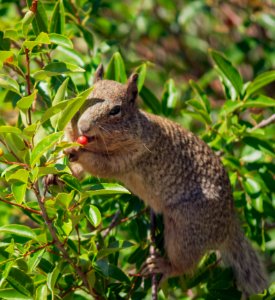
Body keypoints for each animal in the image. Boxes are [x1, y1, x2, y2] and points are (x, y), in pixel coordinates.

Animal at [64, 64, 268, 296]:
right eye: (83, 96)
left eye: (116, 110)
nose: (83, 126)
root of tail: (228, 226)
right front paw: (55, 171)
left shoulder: (133, 155)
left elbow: (101, 166)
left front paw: (78, 152)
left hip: (186, 231)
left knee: (185, 265)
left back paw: (162, 266)